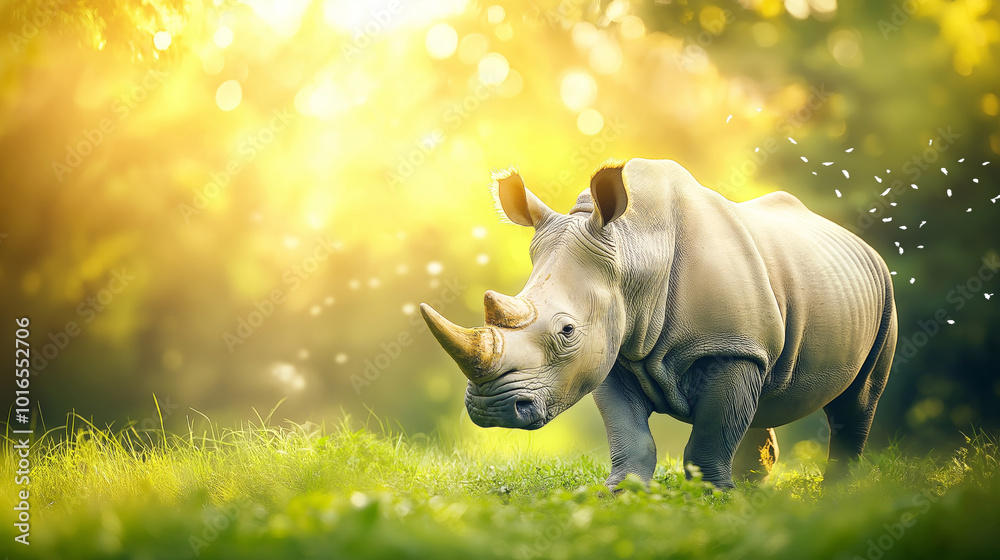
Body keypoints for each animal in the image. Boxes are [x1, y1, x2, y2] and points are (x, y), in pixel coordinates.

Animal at [420, 158, 897, 489]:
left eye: (566, 331)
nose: (492, 409)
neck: (634, 251)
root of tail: (858, 242)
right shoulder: (613, 350)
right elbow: (630, 436)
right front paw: (621, 495)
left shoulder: (732, 347)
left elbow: (709, 436)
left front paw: (712, 498)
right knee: (764, 395)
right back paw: (754, 487)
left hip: (885, 294)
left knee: (857, 402)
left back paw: (835, 494)